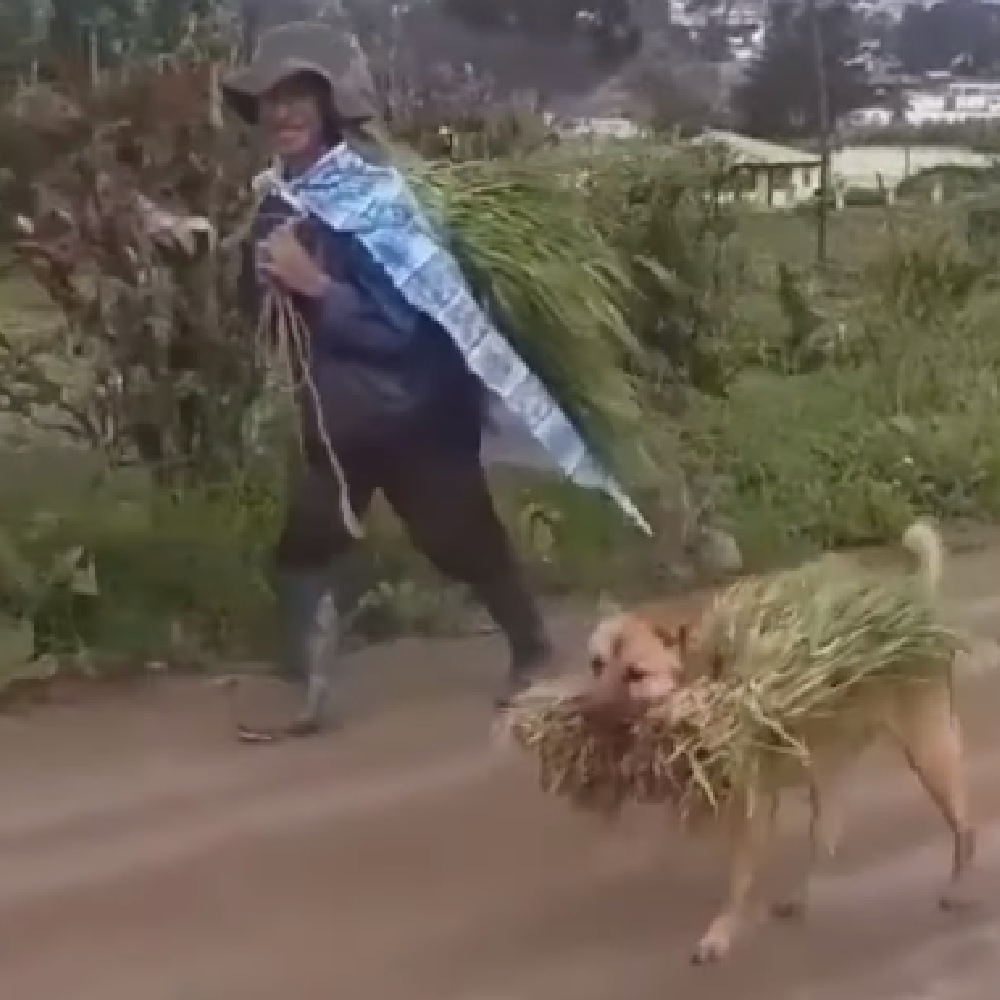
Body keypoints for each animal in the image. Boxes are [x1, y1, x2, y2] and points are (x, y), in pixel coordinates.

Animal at [584, 520, 972, 964]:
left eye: (636, 674)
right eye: (596, 664)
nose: (585, 713)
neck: (711, 673)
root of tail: (914, 604)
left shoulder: (752, 809)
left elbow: (738, 879)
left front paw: (721, 933)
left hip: (930, 755)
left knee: (965, 829)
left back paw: (958, 887)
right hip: (830, 769)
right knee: (828, 838)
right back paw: (798, 898)